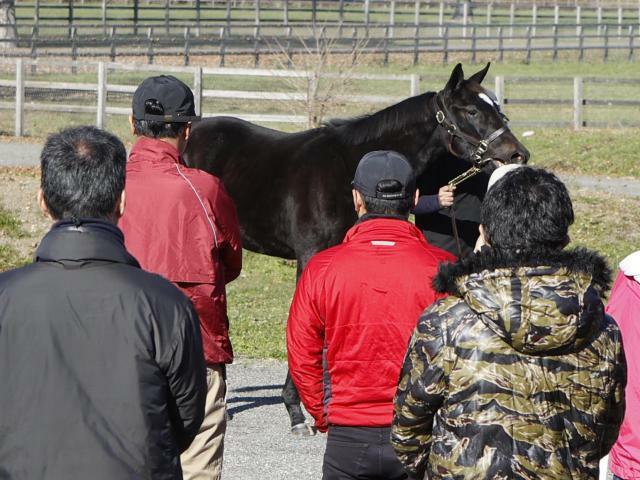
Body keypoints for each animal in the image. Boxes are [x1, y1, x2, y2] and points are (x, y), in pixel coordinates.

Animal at [181, 62, 528, 436]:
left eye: (496, 107)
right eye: (471, 111)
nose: (517, 153)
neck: (350, 168)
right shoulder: (311, 256)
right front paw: (298, 411)